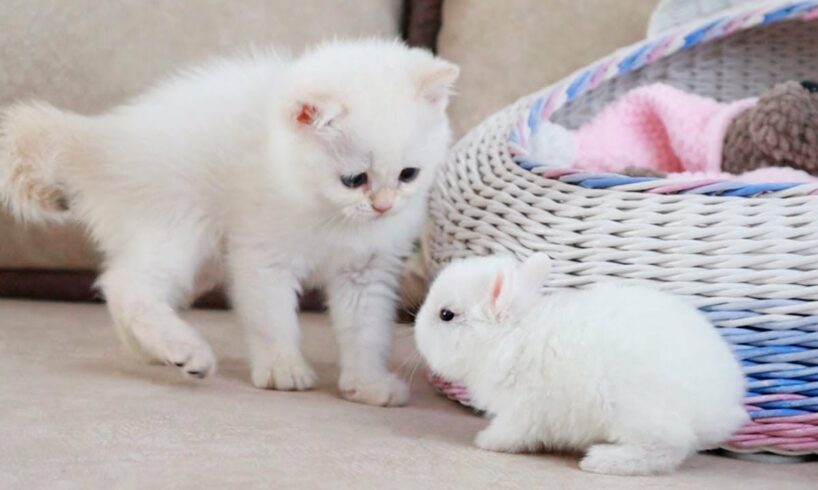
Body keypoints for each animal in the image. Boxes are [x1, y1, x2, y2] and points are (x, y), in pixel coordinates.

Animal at [0, 38, 456, 408]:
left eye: (408, 175)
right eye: (354, 180)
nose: (383, 206)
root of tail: (105, 137)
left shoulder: (367, 272)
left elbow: (367, 331)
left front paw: (367, 384)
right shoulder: (262, 258)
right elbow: (272, 319)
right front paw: (283, 369)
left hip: (198, 261)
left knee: (121, 289)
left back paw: (152, 352)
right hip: (181, 228)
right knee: (127, 285)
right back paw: (187, 351)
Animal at [414, 255, 744, 472]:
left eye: (446, 315)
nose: (416, 332)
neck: (510, 334)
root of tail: (722, 410)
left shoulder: (522, 410)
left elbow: (512, 433)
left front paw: (486, 441)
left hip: (637, 414)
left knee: (668, 448)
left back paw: (600, 461)